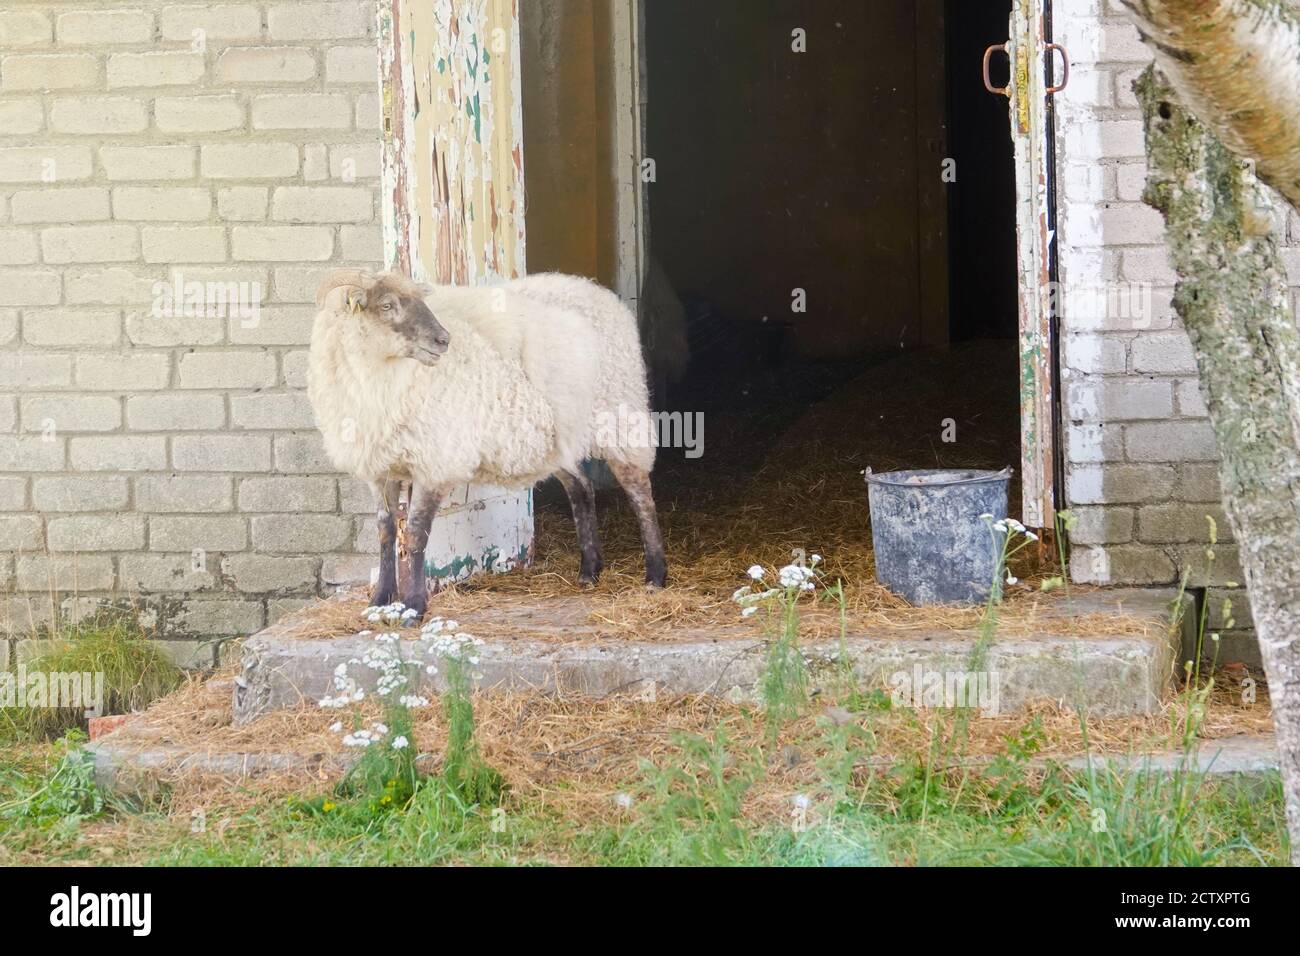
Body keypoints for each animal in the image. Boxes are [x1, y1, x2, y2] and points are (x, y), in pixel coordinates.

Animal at [309, 267, 665, 621]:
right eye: (386, 305)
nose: (443, 340)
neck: (379, 376)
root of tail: (597, 291)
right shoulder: (379, 467)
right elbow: (385, 532)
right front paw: (380, 601)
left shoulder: (435, 461)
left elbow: (415, 532)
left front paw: (413, 607)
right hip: (554, 441)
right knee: (582, 488)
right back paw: (589, 571)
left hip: (620, 416)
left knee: (640, 495)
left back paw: (655, 576)